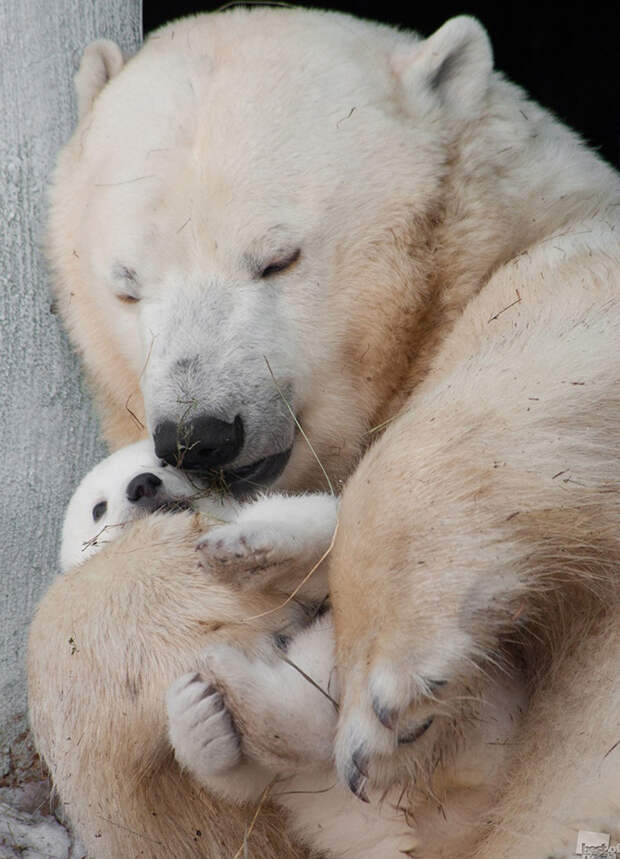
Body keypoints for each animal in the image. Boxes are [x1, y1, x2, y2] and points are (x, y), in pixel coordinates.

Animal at [32, 6, 620, 859]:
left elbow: (564, 328)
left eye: (278, 258)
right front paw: (203, 603)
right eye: (127, 284)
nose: (200, 434)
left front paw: (386, 674)